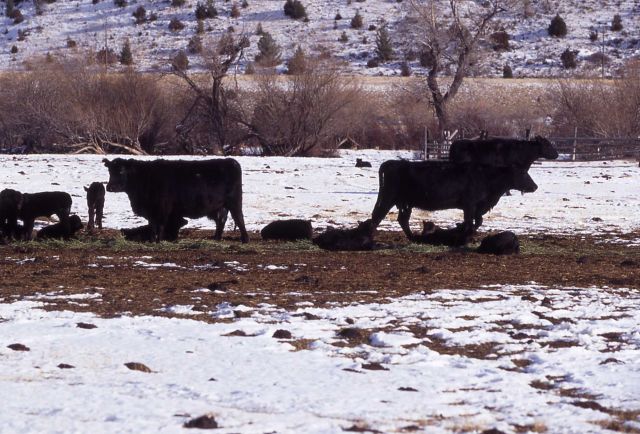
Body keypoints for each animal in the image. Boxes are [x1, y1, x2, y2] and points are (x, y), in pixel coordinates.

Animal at [103, 158, 248, 243]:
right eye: (110, 171)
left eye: (121, 171)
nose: (110, 187)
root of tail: (231, 161)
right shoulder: (151, 211)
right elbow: (152, 225)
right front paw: (152, 239)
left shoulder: (162, 208)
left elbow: (160, 225)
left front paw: (158, 240)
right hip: (221, 205)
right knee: (221, 220)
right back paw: (216, 239)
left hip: (235, 202)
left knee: (239, 219)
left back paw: (245, 239)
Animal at [370, 161, 538, 239]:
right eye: (523, 173)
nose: (535, 186)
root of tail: (393, 162)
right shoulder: (470, 204)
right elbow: (470, 222)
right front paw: (464, 235)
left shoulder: (476, 206)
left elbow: (477, 221)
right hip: (388, 197)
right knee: (377, 216)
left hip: (405, 203)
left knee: (402, 220)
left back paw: (413, 237)